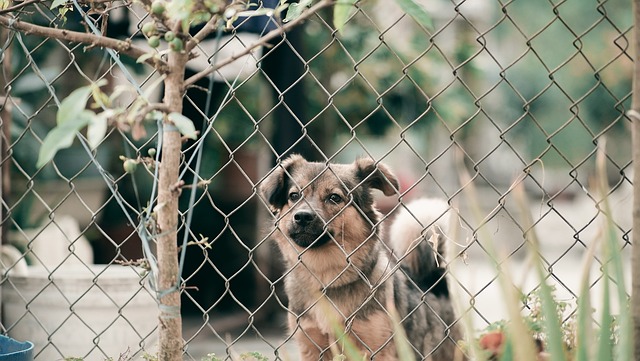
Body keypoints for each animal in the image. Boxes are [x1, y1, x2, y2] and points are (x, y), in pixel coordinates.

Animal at [260, 155, 464, 360]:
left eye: (334, 198)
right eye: (294, 196)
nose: (302, 217)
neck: (327, 278)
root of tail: (431, 278)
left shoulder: (378, 349)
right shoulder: (311, 345)